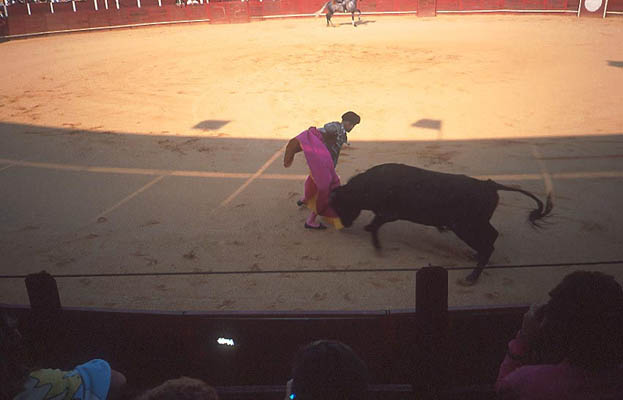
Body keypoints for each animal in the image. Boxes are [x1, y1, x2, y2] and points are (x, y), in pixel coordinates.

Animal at [330, 163, 552, 284]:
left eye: (341, 205)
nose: (344, 225)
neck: (369, 185)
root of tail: (489, 184)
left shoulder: (389, 214)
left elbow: (376, 226)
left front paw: (377, 247)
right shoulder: (384, 214)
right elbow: (374, 224)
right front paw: (369, 230)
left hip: (466, 227)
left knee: (488, 244)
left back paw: (472, 277)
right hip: (476, 224)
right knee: (492, 237)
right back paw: (475, 258)